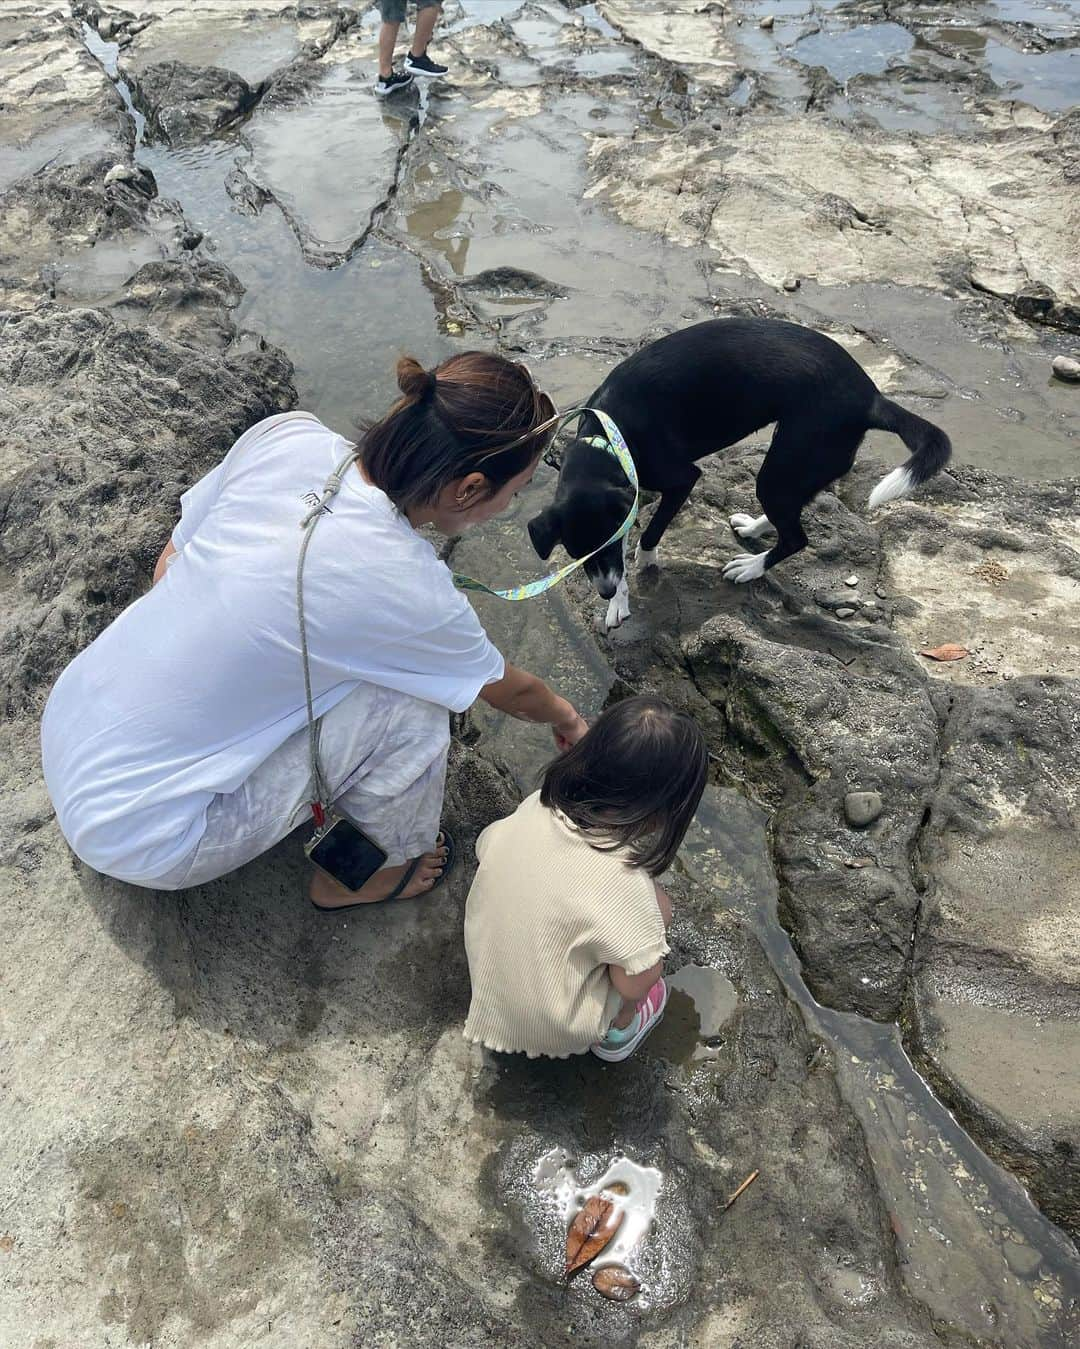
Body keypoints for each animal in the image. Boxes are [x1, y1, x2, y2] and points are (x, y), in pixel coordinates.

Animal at [525, 318, 949, 628]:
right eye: (575, 554)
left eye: (606, 545)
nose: (606, 593)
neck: (608, 436)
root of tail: (872, 397)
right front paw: (620, 601)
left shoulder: (681, 480)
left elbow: (649, 532)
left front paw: (644, 564)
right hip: (800, 463)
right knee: (793, 509)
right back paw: (755, 528)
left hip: (789, 459)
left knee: (795, 537)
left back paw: (752, 567)